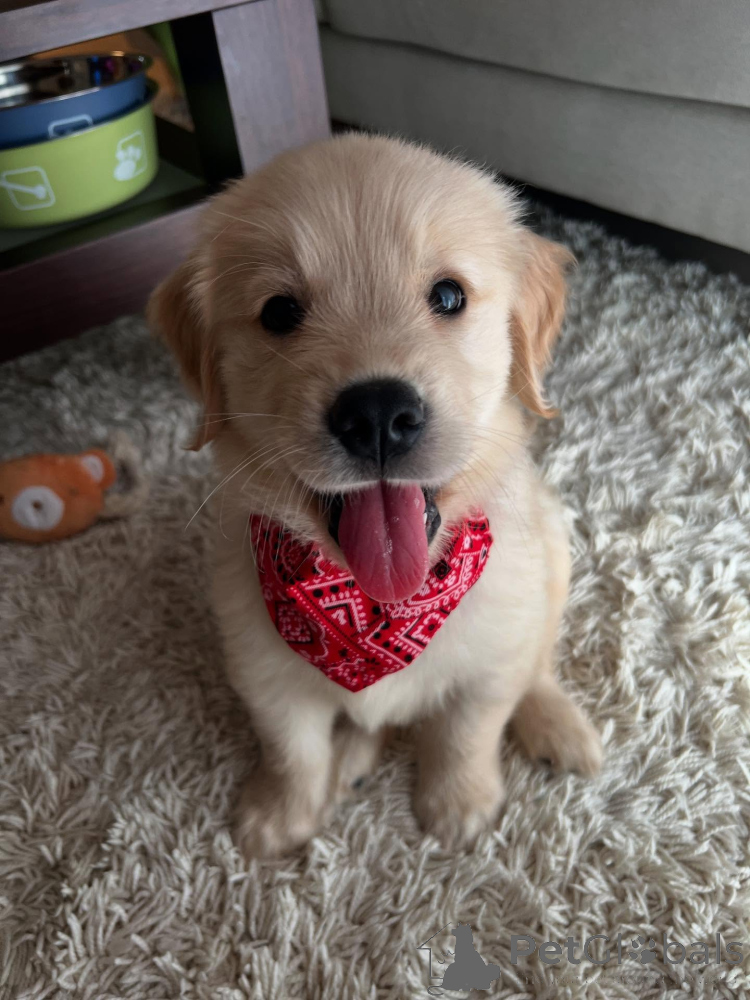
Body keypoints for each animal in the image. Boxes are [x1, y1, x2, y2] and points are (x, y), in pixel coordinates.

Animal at [148, 133, 602, 858]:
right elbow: (291, 748)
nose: (379, 414)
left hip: (553, 552)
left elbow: (467, 731)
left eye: (448, 296)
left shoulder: (493, 652)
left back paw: (557, 725)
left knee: (540, 665)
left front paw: (459, 802)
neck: (378, 603)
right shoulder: (261, 666)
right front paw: (281, 812)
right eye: (280, 312)